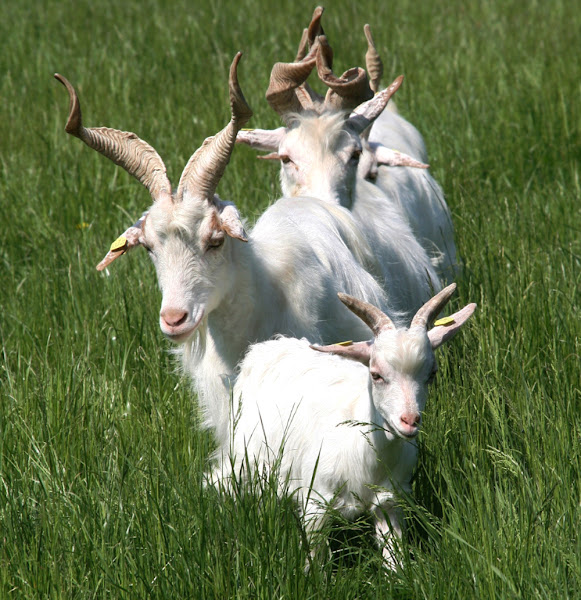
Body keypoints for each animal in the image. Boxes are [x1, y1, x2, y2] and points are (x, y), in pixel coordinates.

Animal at [213, 284, 476, 568]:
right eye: (376, 374)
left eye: (431, 374)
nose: (409, 420)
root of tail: (268, 347)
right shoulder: (315, 502)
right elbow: (315, 560)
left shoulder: (389, 501)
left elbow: (394, 558)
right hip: (244, 458)